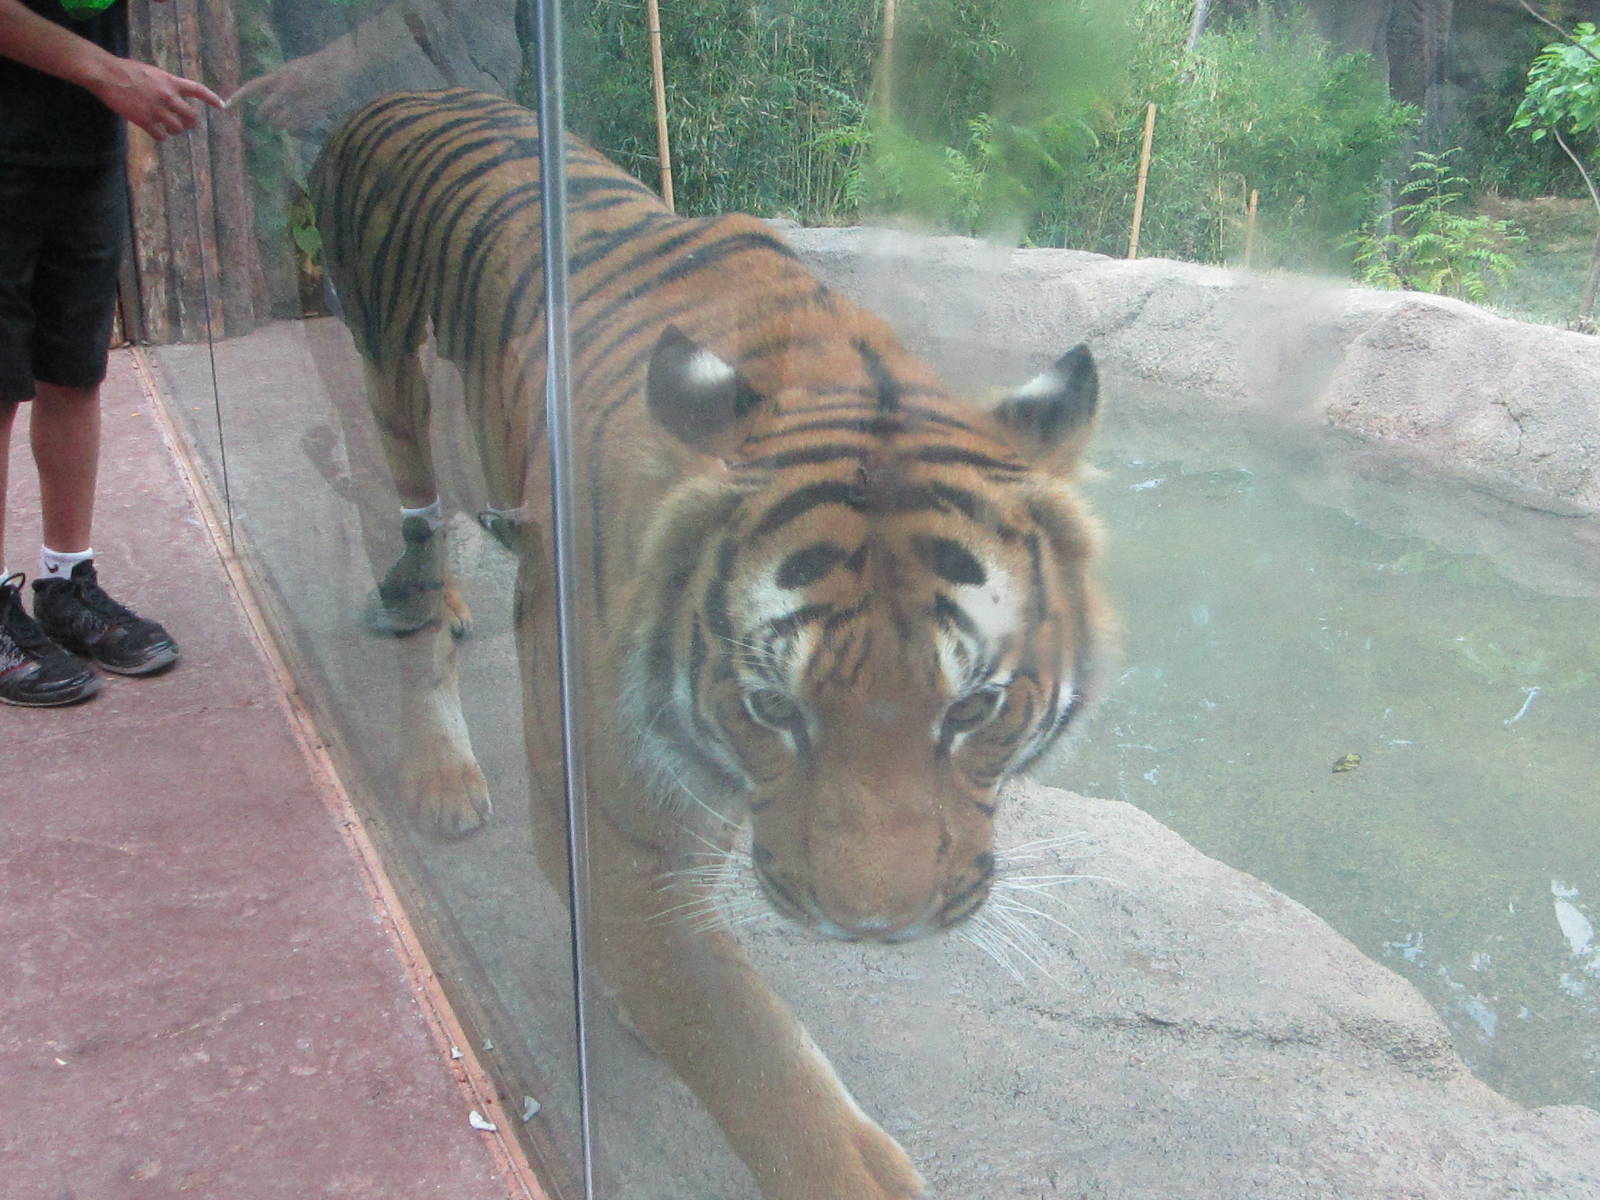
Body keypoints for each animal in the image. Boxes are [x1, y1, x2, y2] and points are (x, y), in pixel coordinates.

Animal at [311, 88, 1109, 1200]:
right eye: (774, 706)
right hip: (391, 385)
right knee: (415, 552)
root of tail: (392, 94)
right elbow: (756, 1061)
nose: (874, 926)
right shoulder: (612, 828)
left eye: (974, 709)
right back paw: (439, 767)